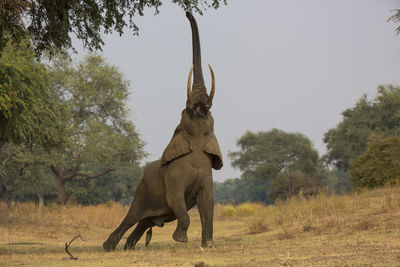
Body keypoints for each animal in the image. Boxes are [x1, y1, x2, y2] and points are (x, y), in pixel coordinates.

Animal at [101, 12, 223, 251]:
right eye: (186, 111)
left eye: (208, 112)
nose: (186, 12)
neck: (194, 142)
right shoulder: (173, 174)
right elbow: (177, 199)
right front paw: (180, 239)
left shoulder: (206, 172)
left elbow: (208, 202)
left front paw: (209, 245)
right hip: (141, 191)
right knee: (131, 218)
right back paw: (108, 247)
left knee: (144, 222)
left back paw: (128, 247)